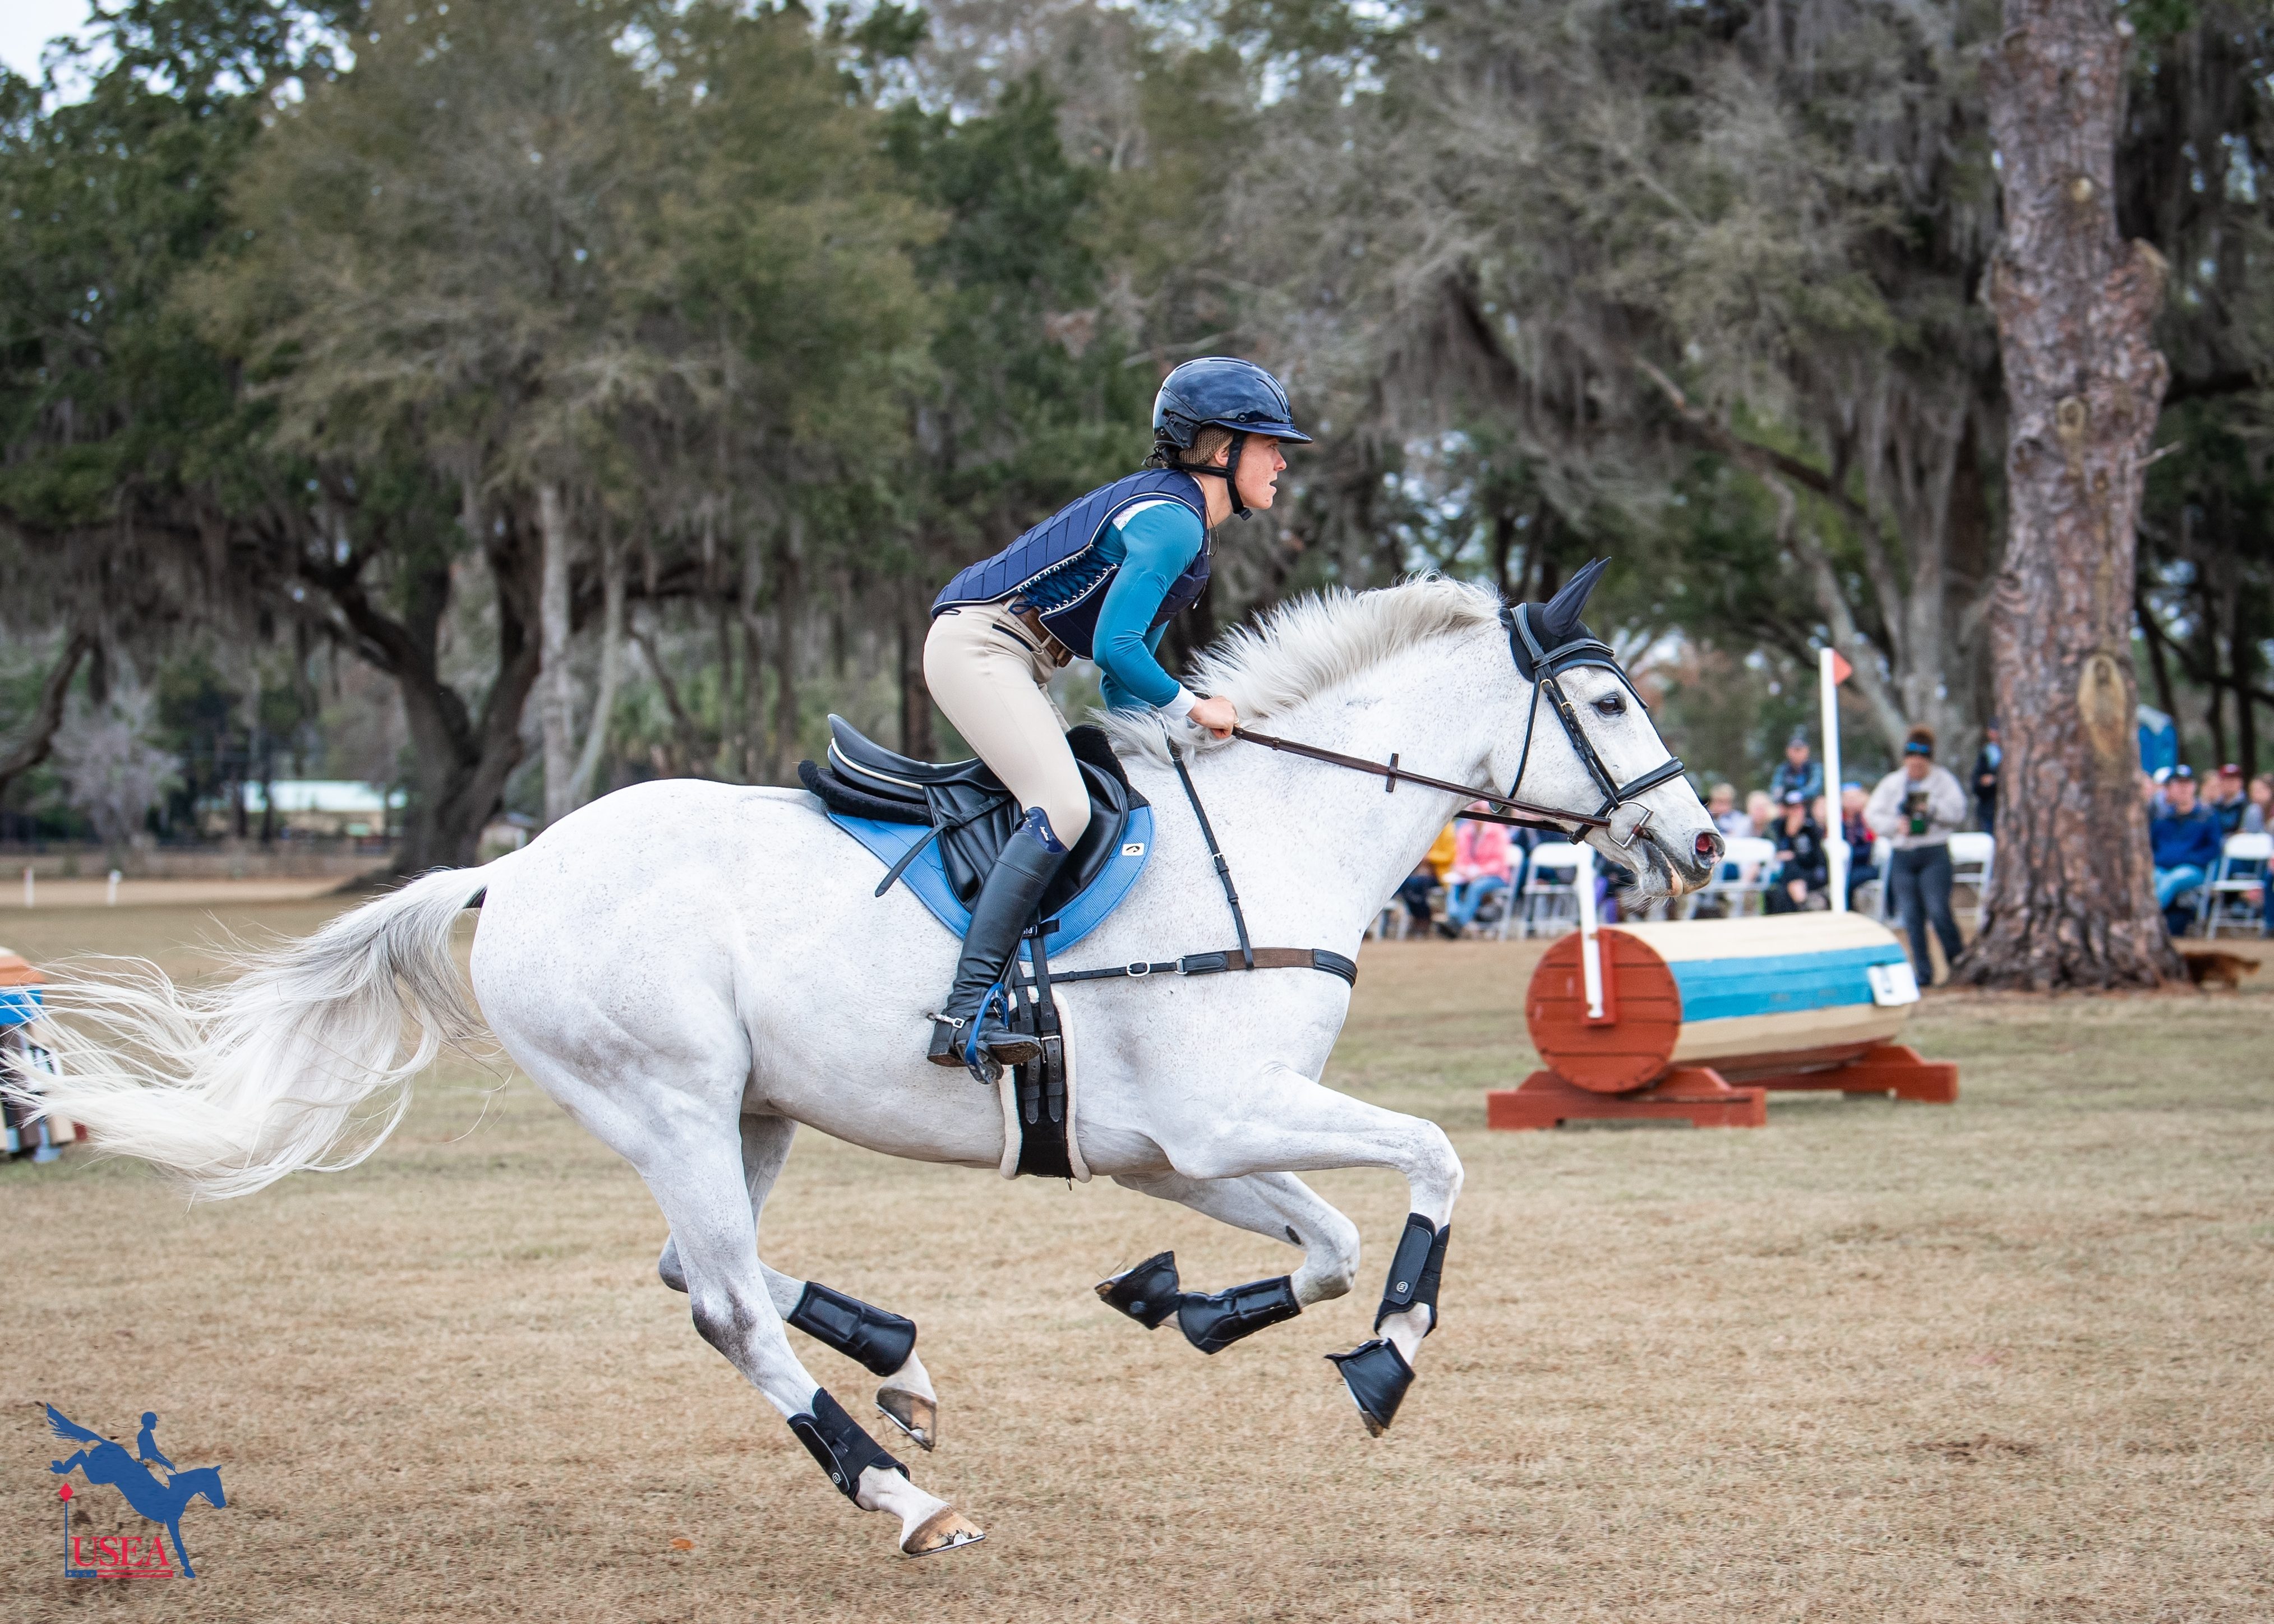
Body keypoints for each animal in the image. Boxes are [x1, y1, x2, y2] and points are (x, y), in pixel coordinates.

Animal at [16, 570, 1720, 1558]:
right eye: (1608, 694)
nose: (1702, 844)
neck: (1279, 830)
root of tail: (511, 869)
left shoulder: (1188, 1152)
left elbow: (1329, 1240)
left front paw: (1182, 1303)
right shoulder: (1232, 1116)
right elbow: (1431, 1164)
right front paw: (1386, 1361)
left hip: (745, 1112)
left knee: (699, 1272)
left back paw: (898, 1361)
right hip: (670, 1099)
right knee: (717, 1303)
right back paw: (895, 1491)